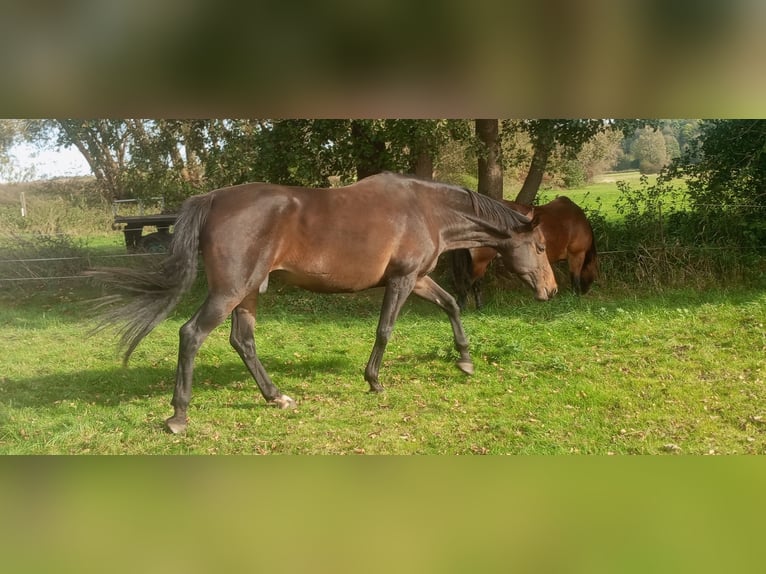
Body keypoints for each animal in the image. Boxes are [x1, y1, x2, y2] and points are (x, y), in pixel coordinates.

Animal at [88, 173, 560, 434]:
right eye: (538, 246)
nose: (551, 290)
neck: (426, 210)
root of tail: (214, 199)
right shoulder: (403, 280)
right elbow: (385, 329)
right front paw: (374, 380)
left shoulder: (418, 278)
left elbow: (452, 306)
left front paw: (464, 360)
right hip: (230, 291)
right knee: (192, 334)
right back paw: (178, 416)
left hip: (249, 293)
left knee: (243, 342)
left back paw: (277, 397)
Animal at [452, 196, 596, 310]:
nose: (586, 291)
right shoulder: (576, 255)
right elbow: (574, 278)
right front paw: (575, 298)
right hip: (480, 261)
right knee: (468, 282)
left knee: (475, 283)